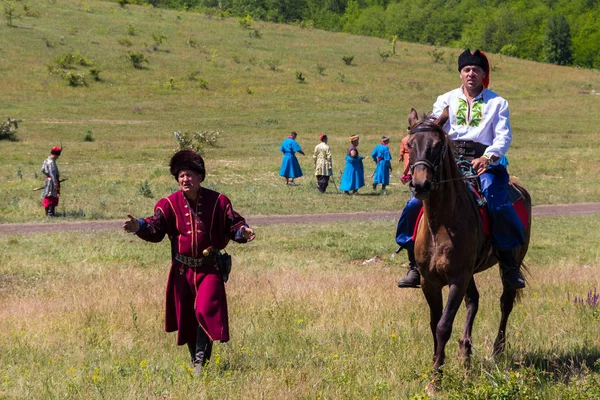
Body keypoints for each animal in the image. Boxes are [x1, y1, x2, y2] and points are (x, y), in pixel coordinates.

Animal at [408, 108, 528, 390]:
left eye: (438, 146)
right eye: (409, 145)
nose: (420, 185)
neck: (441, 223)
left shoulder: (457, 279)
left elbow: (443, 325)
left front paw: (436, 380)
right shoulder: (430, 282)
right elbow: (434, 324)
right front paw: (437, 368)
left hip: (508, 266)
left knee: (505, 303)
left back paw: (497, 351)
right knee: (474, 301)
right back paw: (465, 352)